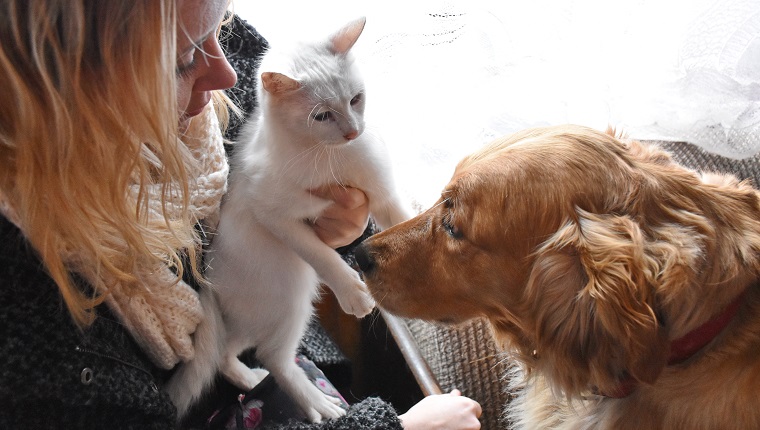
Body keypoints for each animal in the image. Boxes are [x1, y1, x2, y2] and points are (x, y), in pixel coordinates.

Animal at [167, 17, 412, 424]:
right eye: (322, 116)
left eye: (355, 99)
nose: (353, 132)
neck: (329, 155)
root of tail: (210, 285)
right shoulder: (272, 211)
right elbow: (322, 255)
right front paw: (352, 292)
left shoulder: (381, 193)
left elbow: (408, 221)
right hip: (290, 296)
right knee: (273, 357)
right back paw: (317, 403)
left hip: (252, 316)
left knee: (225, 354)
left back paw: (252, 381)